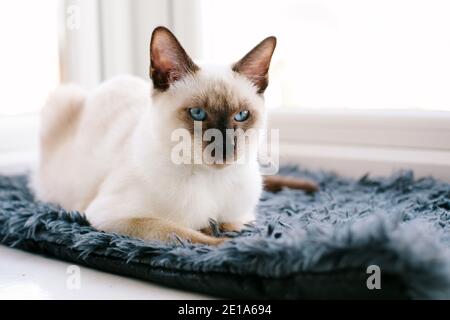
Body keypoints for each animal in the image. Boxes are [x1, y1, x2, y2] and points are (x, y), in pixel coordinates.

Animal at [32, 26, 316, 245]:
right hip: (63, 96)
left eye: (242, 116)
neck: (211, 181)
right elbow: (193, 235)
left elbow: (227, 225)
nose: (225, 149)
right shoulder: (111, 217)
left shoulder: (242, 217)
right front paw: (233, 246)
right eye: (198, 113)